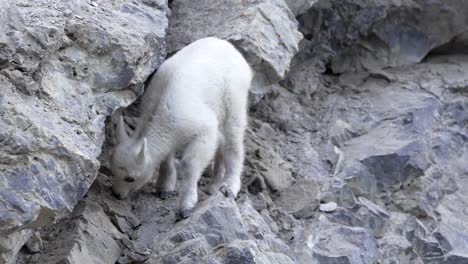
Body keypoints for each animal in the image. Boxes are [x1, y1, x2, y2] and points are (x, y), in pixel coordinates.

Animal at [110, 37, 252, 219]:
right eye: (113, 171)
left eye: (130, 178)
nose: (116, 194)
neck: (160, 117)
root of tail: (231, 48)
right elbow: (166, 157)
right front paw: (165, 187)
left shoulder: (203, 130)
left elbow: (190, 165)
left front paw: (186, 206)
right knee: (221, 140)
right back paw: (214, 185)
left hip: (235, 98)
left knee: (233, 141)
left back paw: (229, 186)